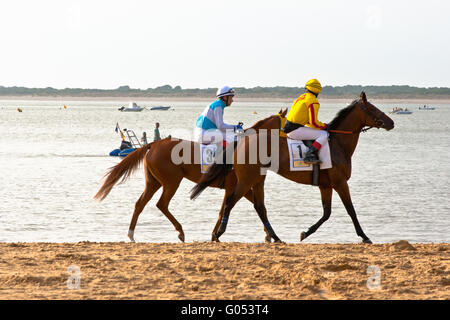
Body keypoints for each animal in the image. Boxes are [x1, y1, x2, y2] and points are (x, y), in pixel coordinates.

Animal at [94, 108, 288, 242]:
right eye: (287, 123)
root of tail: (153, 144)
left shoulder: (240, 186)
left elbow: (247, 207)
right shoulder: (237, 185)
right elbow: (232, 208)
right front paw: (216, 234)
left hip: (153, 182)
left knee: (140, 204)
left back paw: (131, 234)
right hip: (172, 181)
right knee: (161, 204)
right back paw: (180, 232)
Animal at [192, 92, 396, 242]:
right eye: (373, 108)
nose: (391, 122)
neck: (338, 143)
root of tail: (242, 139)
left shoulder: (326, 185)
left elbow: (327, 213)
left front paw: (305, 233)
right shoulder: (340, 182)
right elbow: (350, 210)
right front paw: (364, 236)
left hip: (258, 179)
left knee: (259, 206)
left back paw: (275, 237)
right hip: (247, 179)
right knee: (230, 201)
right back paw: (220, 232)